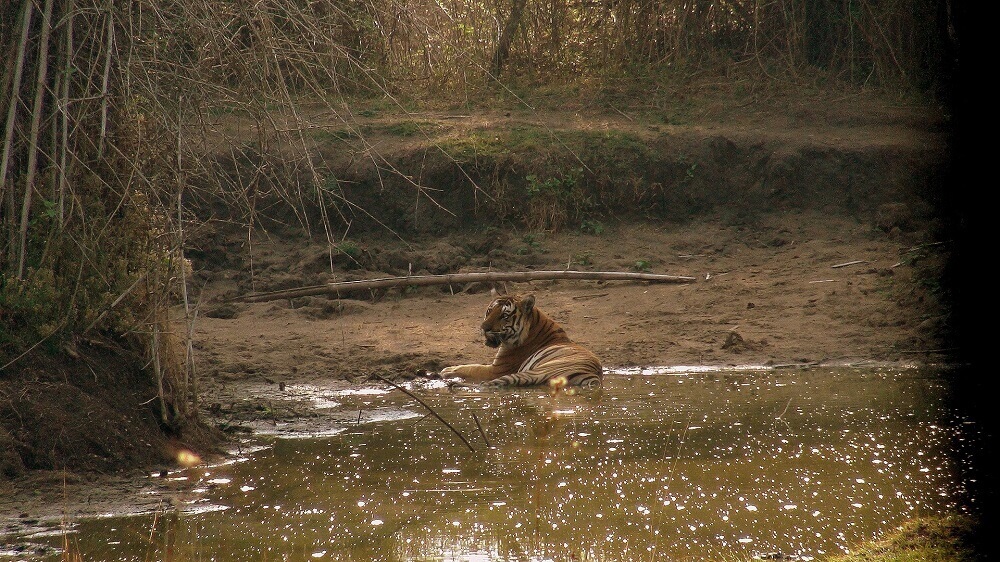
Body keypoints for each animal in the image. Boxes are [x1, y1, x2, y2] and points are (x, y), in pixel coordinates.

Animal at [440, 290, 600, 388]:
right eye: (490, 311)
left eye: (504, 316)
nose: (484, 327)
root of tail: (591, 375)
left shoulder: (497, 370)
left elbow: (473, 367)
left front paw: (447, 370)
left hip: (532, 371)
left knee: (485, 385)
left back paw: (454, 384)